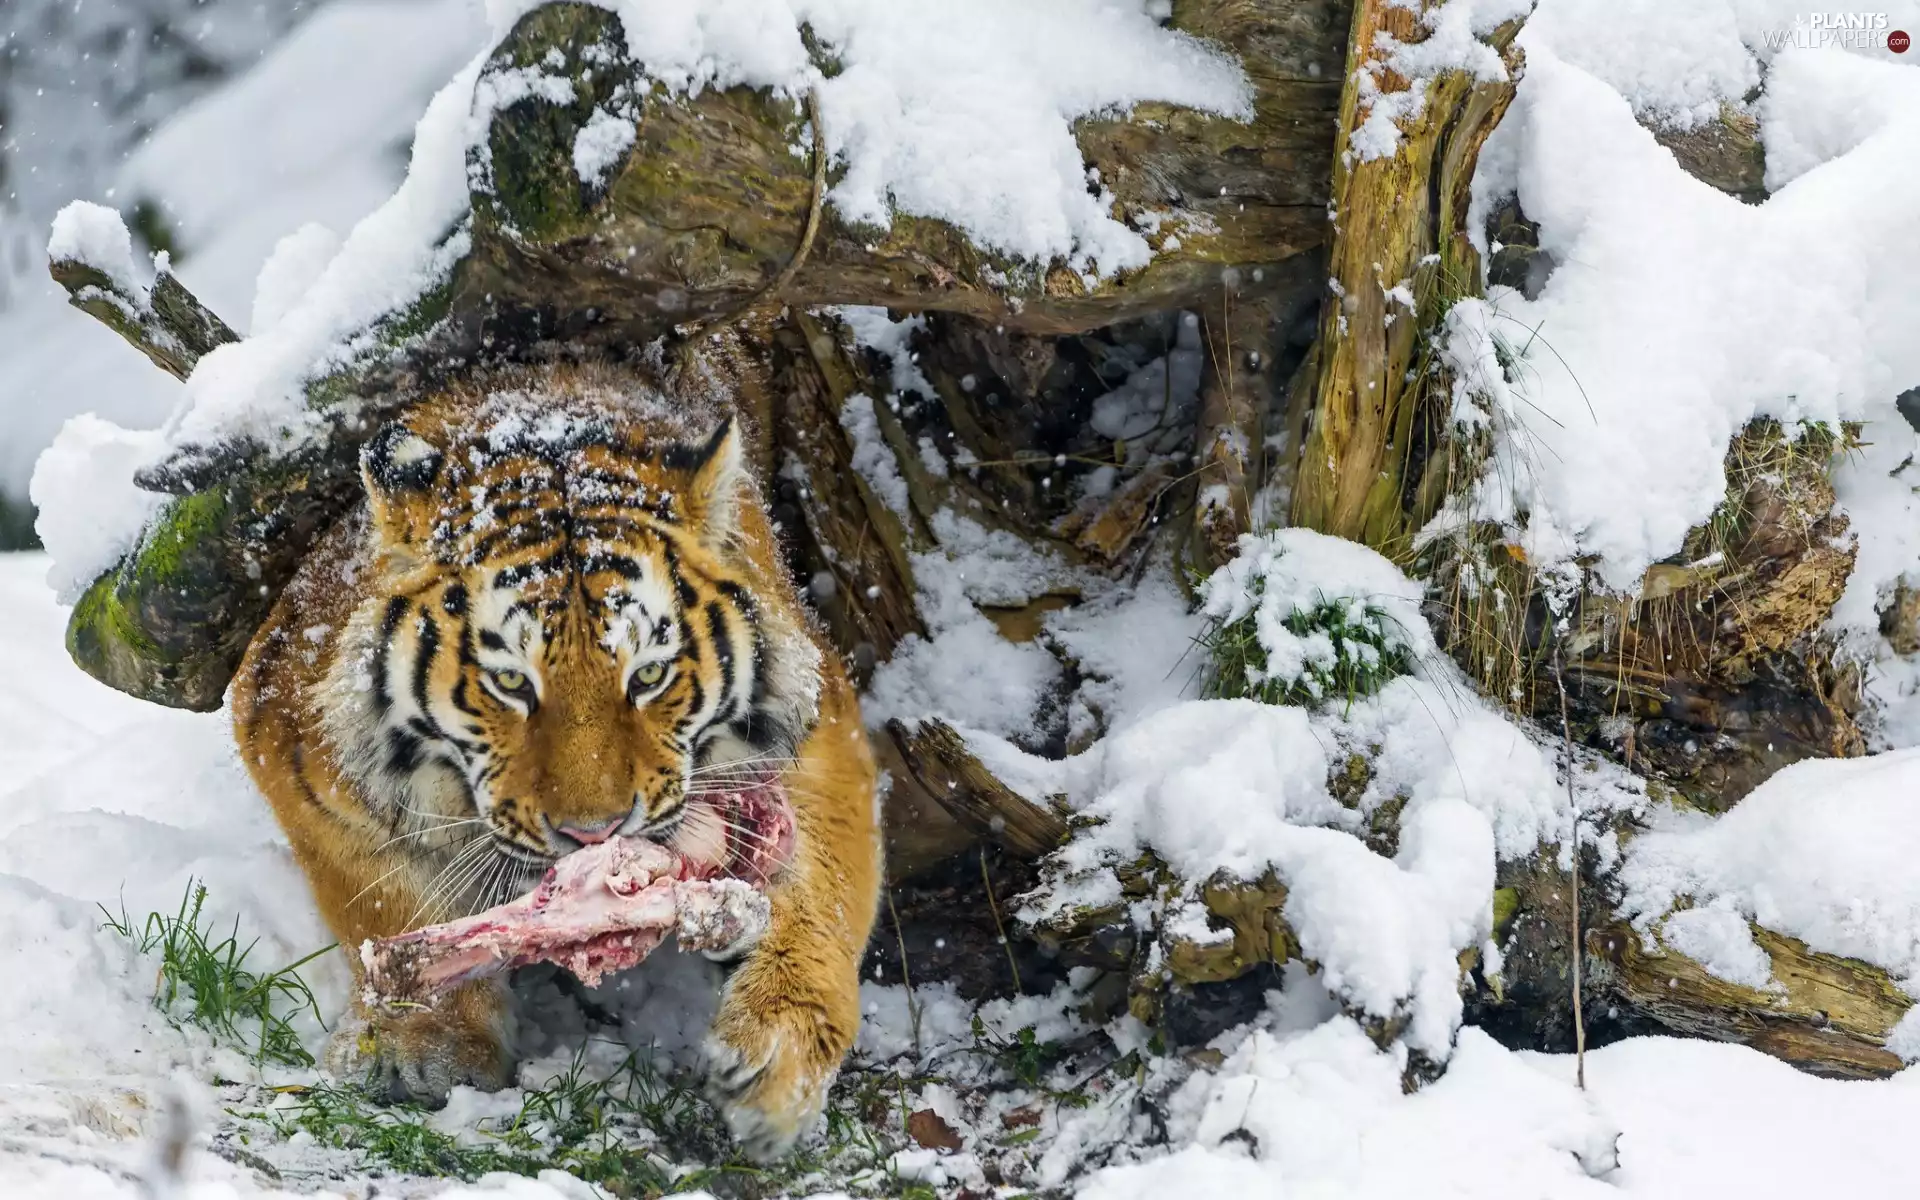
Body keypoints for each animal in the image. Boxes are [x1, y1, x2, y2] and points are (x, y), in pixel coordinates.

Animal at [230, 364, 881, 1159]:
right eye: (511, 684)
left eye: (648, 676)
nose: (593, 835)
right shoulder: (302, 756)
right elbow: (384, 902)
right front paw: (427, 1044)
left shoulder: (821, 727)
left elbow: (826, 893)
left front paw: (776, 1064)